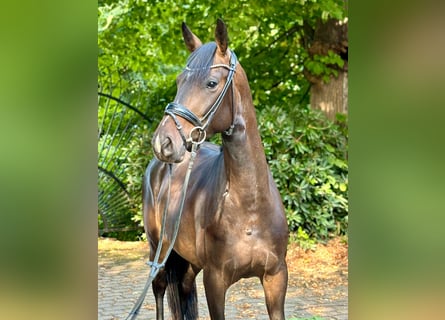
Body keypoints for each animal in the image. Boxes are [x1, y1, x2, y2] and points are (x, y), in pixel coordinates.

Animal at [142, 18, 288, 318]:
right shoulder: (215, 280)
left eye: (211, 83)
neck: (250, 206)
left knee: (184, 288)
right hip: (158, 250)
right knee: (159, 288)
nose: (163, 142)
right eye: (179, 81)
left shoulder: (276, 278)